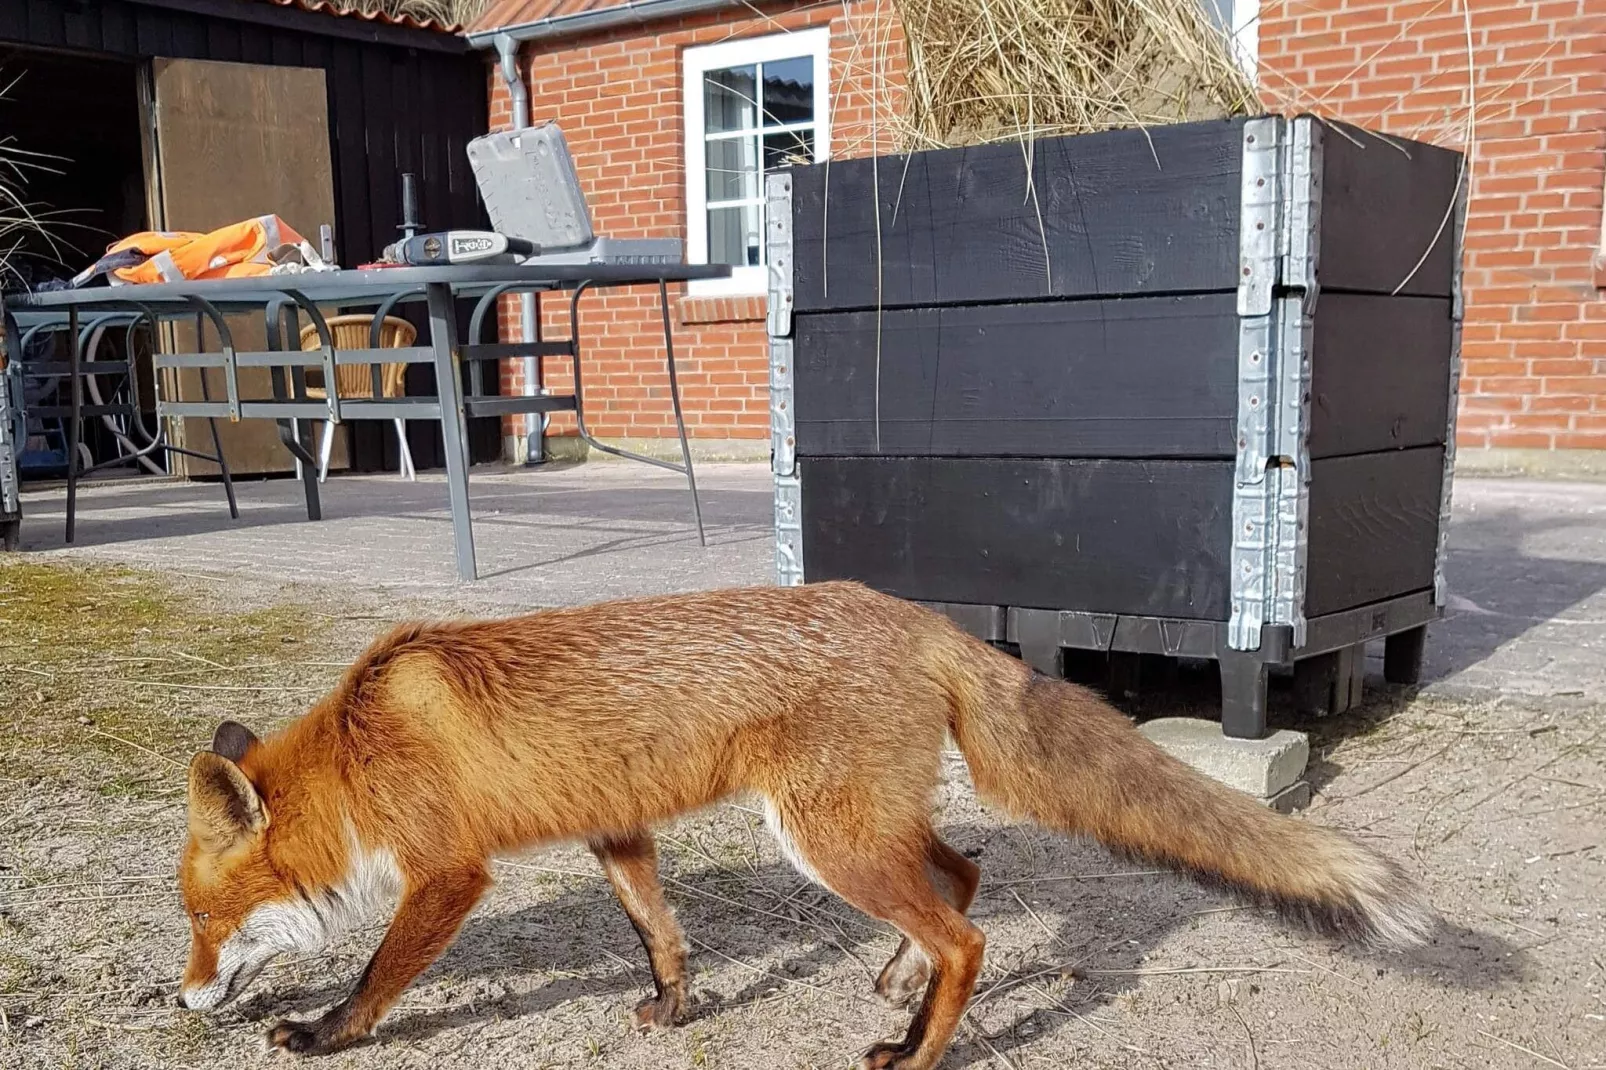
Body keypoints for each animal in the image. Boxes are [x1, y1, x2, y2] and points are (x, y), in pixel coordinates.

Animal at [172, 578, 1432, 1060]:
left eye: (201, 916)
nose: (177, 995)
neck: (358, 745)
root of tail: (911, 613)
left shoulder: (448, 873)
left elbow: (377, 974)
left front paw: (321, 1033)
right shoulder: (616, 827)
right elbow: (658, 928)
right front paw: (676, 1005)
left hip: (825, 838)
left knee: (967, 932)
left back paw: (916, 1048)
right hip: (863, 829)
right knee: (963, 882)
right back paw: (901, 985)